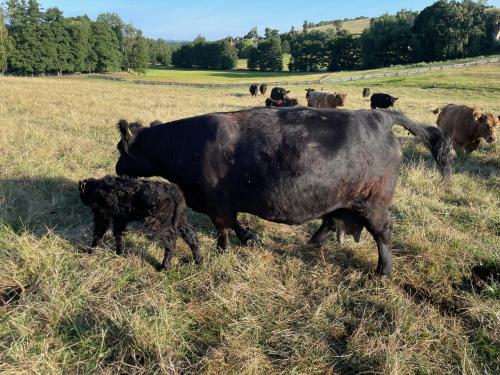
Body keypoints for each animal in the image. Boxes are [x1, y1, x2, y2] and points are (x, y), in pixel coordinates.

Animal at [115, 107, 452, 274]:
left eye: (120, 148)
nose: (117, 168)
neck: (186, 144)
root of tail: (380, 116)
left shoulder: (215, 203)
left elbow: (224, 228)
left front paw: (224, 249)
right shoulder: (225, 204)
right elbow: (235, 223)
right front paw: (248, 238)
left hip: (373, 203)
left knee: (383, 233)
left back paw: (384, 269)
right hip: (341, 199)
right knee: (331, 221)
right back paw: (312, 242)